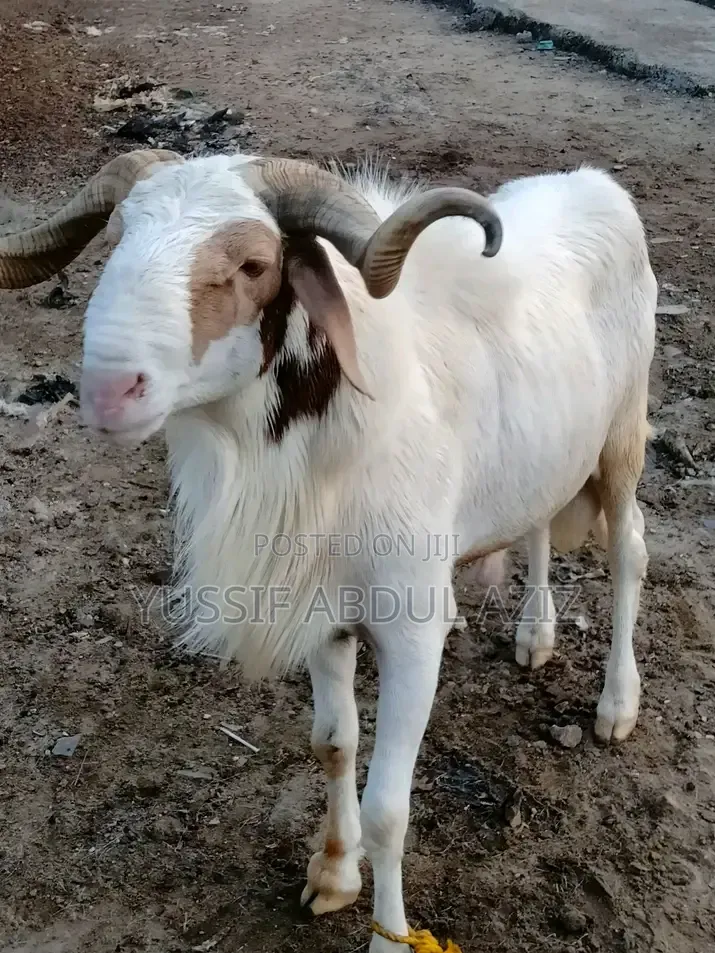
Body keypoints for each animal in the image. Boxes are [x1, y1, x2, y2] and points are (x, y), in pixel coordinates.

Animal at [0, 148, 656, 950]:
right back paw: (535, 634)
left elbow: (388, 809)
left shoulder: (414, 628)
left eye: (254, 264)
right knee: (536, 526)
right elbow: (333, 743)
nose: (108, 391)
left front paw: (386, 934)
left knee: (629, 553)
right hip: (546, 456)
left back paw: (617, 704)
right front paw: (334, 877)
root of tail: (595, 182)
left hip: (621, 439)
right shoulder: (321, 605)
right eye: (117, 238)